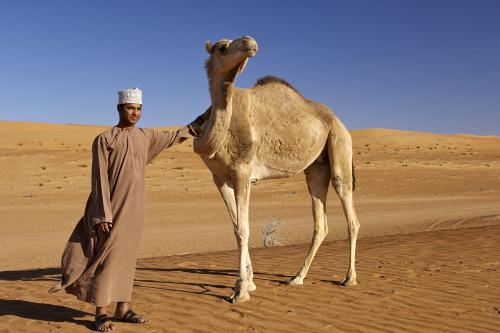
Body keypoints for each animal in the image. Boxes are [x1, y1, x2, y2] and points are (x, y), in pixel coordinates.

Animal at [191, 35, 360, 300]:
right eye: (221, 47)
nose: (249, 41)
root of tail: (338, 120)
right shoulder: (219, 178)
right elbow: (237, 228)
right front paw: (248, 282)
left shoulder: (242, 171)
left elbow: (244, 230)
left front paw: (241, 291)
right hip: (317, 168)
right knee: (320, 222)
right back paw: (297, 278)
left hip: (340, 143)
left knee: (350, 213)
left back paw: (348, 278)